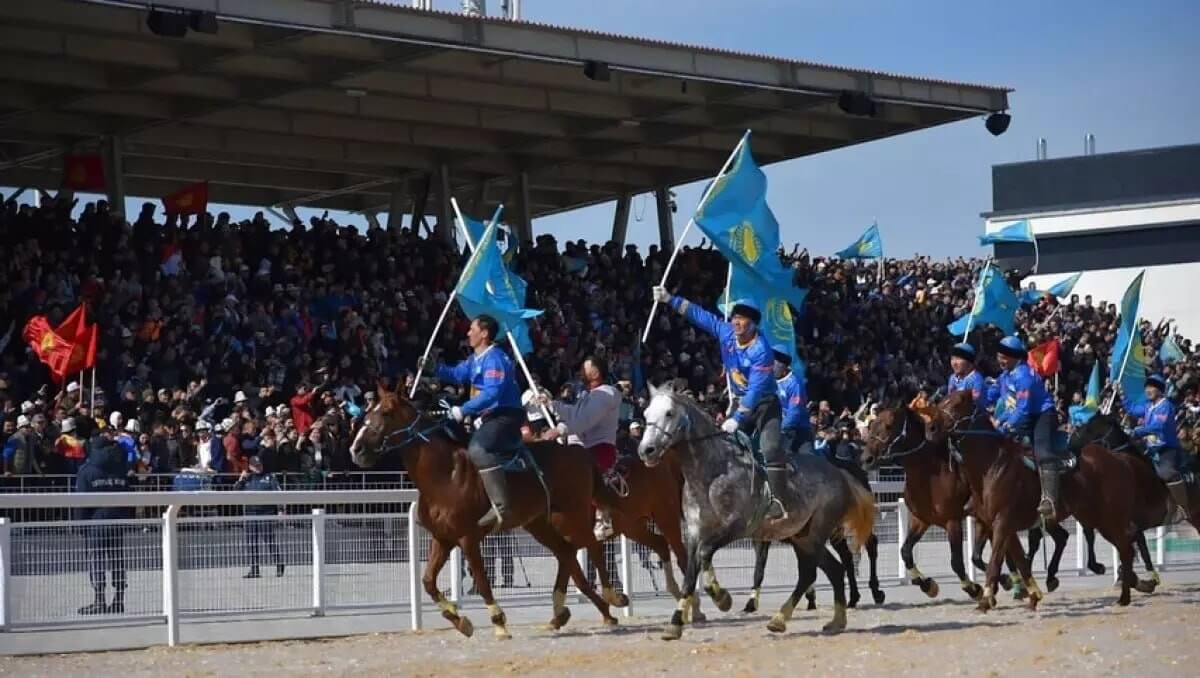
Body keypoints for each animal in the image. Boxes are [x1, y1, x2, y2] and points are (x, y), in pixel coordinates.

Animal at [348, 388, 628, 638]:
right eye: (366, 412)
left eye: (385, 413)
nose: (356, 449)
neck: (445, 475)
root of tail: (579, 451)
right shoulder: (443, 538)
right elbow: (428, 581)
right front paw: (458, 619)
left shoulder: (467, 539)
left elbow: (482, 582)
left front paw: (499, 622)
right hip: (539, 522)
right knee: (566, 553)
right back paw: (577, 612)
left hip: (572, 514)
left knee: (592, 545)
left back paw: (612, 596)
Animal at [633, 384, 878, 638]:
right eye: (646, 413)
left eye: (669, 413)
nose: (646, 450)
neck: (714, 472)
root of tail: (840, 473)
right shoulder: (693, 532)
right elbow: (691, 574)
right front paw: (675, 623)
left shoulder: (736, 526)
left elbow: (706, 553)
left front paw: (722, 598)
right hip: (802, 537)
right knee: (834, 570)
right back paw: (836, 621)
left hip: (818, 532)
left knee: (811, 572)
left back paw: (780, 619)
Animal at [926, 391, 1142, 607]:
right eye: (941, 401)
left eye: (956, 404)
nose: (930, 428)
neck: (993, 466)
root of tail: (1115, 460)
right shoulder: (985, 521)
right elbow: (978, 557)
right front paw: (1007, 585)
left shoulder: (1002, 521)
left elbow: (997, 558)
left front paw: (993, 592)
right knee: (1077, 538)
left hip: (1102, 514)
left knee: (1121, 542)